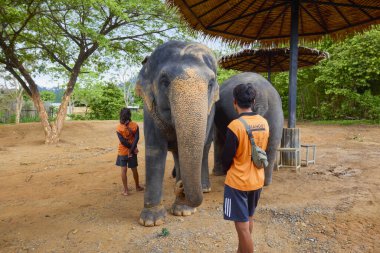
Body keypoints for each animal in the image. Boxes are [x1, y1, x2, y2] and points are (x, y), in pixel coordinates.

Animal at [136, 40, 220, 226]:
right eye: (164, 81)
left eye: (210, 83)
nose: (181, 187)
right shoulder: (149, 110)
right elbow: (155, 150)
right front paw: (151, 221)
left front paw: (183, 211)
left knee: (204, 148)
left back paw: (204, 188)